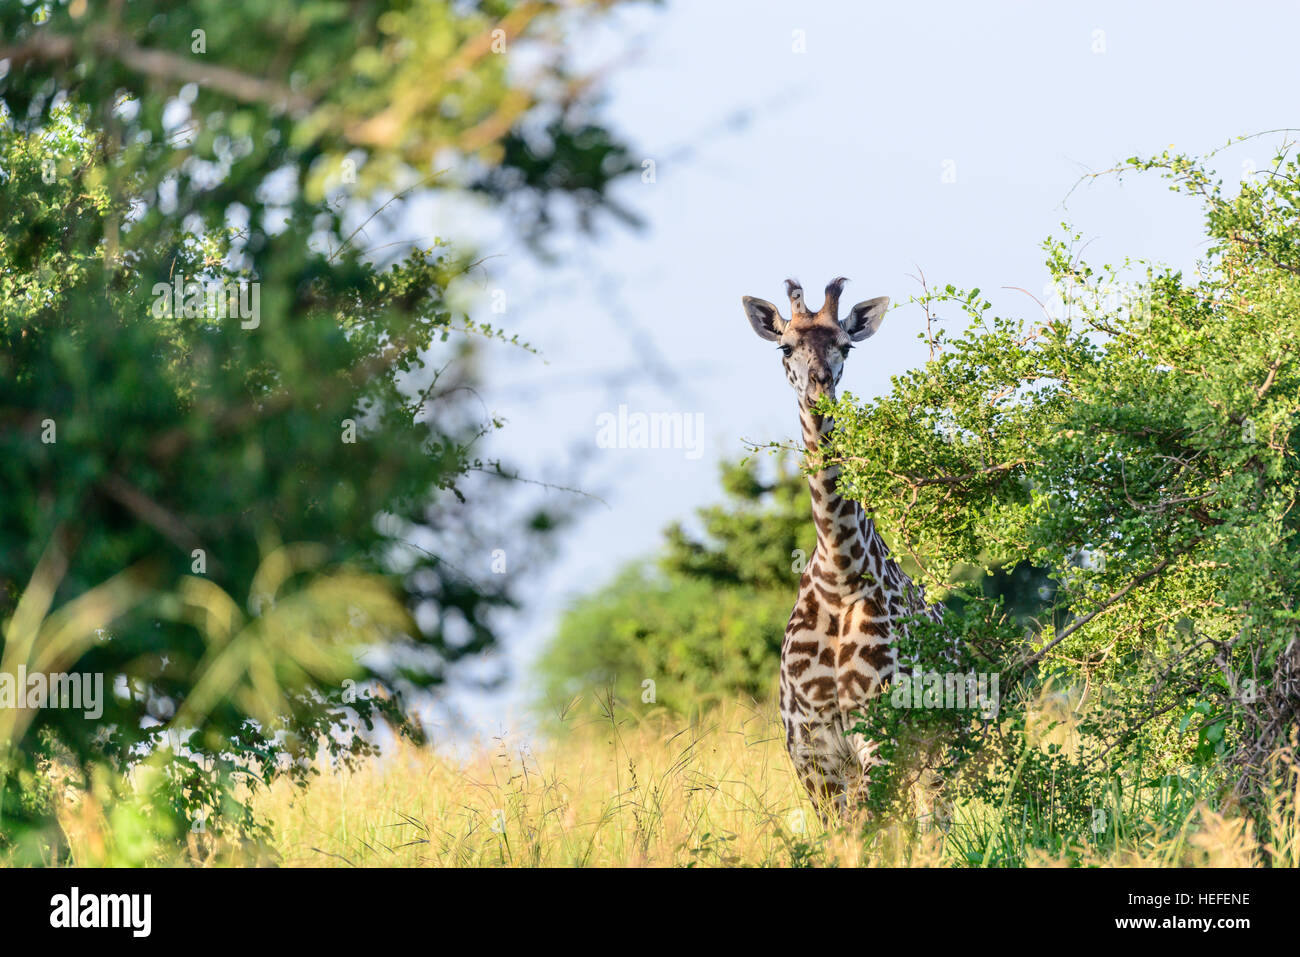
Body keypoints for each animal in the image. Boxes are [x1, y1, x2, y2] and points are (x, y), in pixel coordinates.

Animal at [743, 274, 946, 816]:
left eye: (845, 346)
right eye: (785, 346)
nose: (820, 386)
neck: (841, 573)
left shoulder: (880, 733)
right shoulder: (812, 751)